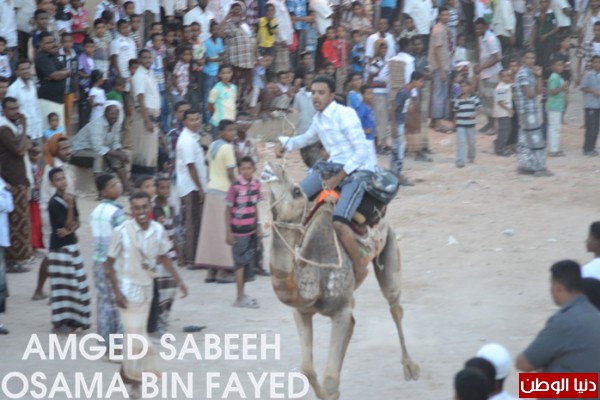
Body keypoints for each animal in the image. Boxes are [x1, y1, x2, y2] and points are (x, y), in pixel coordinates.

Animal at [262, 161, 420, 400]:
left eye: (297, 191)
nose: (274, 165)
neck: (315, 283)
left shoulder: (340, 310)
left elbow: (329, 380)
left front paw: (332, 390)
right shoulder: (301, 311)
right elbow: (307, 370)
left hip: (390, 242)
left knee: (395, 306)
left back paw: (410, 367)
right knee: (354, 323)